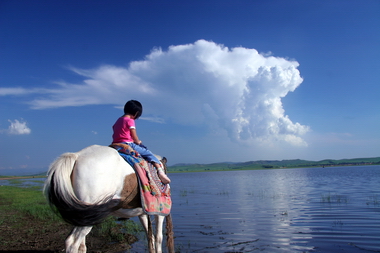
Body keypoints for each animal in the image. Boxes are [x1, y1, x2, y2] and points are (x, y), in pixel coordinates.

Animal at [43, 144, 174, 253]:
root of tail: (77, 156)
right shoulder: (160, 212)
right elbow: (158, 238)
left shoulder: (141, 213)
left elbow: (150, 237)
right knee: (72, 243)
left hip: (81, 215)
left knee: (81, 246)